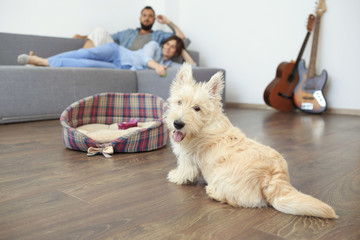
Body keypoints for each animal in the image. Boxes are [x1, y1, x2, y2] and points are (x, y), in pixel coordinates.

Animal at [166, 63, 338, 219]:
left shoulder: (188, 158)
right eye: (179, 102)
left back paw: (213, 192)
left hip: (226, 182)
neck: (205, 125)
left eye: (197, 108)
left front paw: (175, 176)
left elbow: (184, 170)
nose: (178, 124)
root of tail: (272, 177)